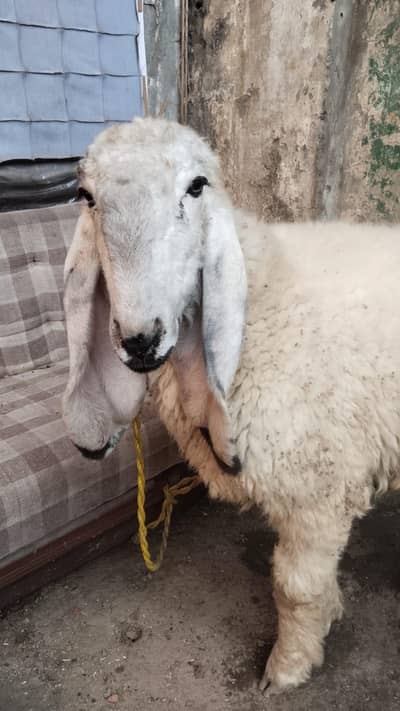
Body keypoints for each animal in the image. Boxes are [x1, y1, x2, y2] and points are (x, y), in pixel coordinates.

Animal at [63, 116, 400, 694]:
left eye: (196, 187)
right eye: (86, 197)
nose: (139, 341)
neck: (264, 303)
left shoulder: (319, 488)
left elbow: (295, 587)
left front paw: (288, 666)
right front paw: (329, 613)